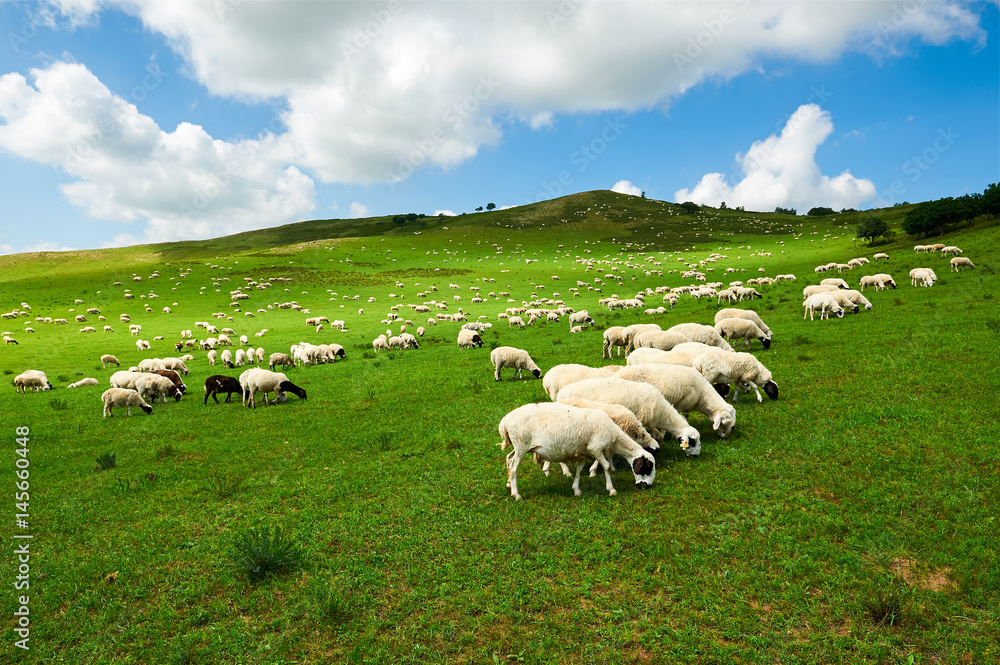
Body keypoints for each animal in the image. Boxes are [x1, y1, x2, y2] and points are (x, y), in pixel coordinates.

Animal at [498, 402, 656, 500]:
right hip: (521, 444)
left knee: (509, 459)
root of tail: (504, 422)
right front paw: (611, 490)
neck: (614, 435)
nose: (646, 486)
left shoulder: (583, 452)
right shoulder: (595, 448)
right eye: (647, 467)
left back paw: (508, 484)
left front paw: (576, 490)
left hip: (518, 445)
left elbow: (580, 471)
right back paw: (516, 494)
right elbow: (607, 467)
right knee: (514, 467)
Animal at [555, 377, 700, 453]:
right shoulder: (642, 421)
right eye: (693, 442)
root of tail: (560, 393)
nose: (696, 456)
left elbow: (657, 436)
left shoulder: (648, 424)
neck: (662, 412)